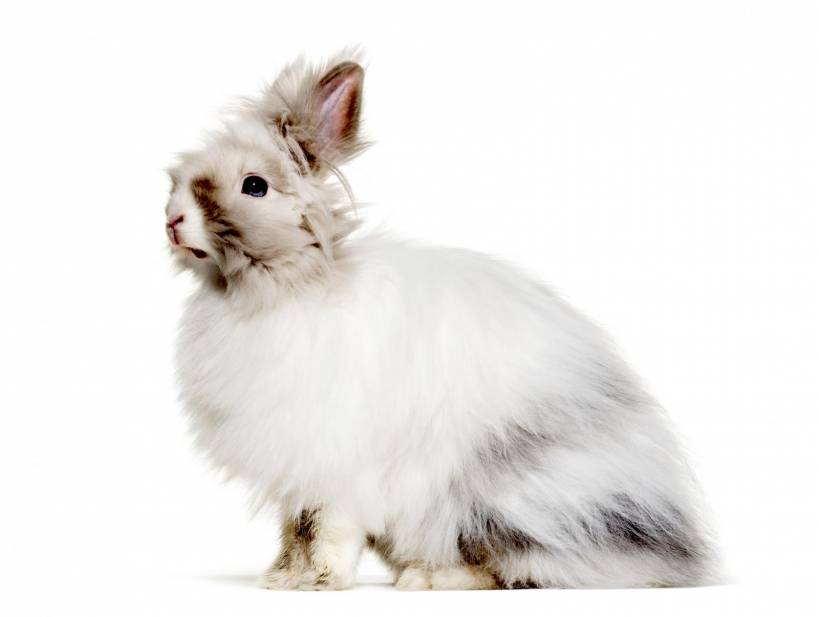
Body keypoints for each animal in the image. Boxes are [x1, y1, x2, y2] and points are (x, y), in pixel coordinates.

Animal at [166, 51, 716, 591]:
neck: (281, 288)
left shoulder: (333, 464)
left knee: (510, 570)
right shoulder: (293, 471)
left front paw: (320, 581)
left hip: (502, 501)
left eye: (254, 186)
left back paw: (427, 578)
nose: (172, 220)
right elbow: (295, 528)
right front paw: (283, 578)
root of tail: (669, 554)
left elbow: (328, 527)